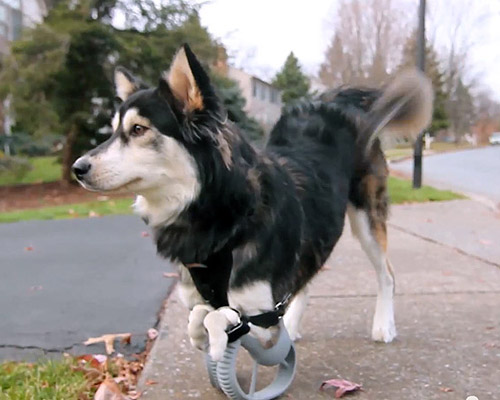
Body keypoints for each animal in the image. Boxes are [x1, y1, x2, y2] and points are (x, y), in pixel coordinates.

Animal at [72, 44, 432, 362]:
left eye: (138, 129)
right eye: (112, 131)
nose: (77, 168)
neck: (221, 215)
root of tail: (331, 104)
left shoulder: (262, 316)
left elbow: (218, 315)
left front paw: (215, 336)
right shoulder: (208, 296)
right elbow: (200, 313)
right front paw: (202, 335)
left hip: (367, 219)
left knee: (386, 274)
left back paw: (383, 325)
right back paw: (292, 324)